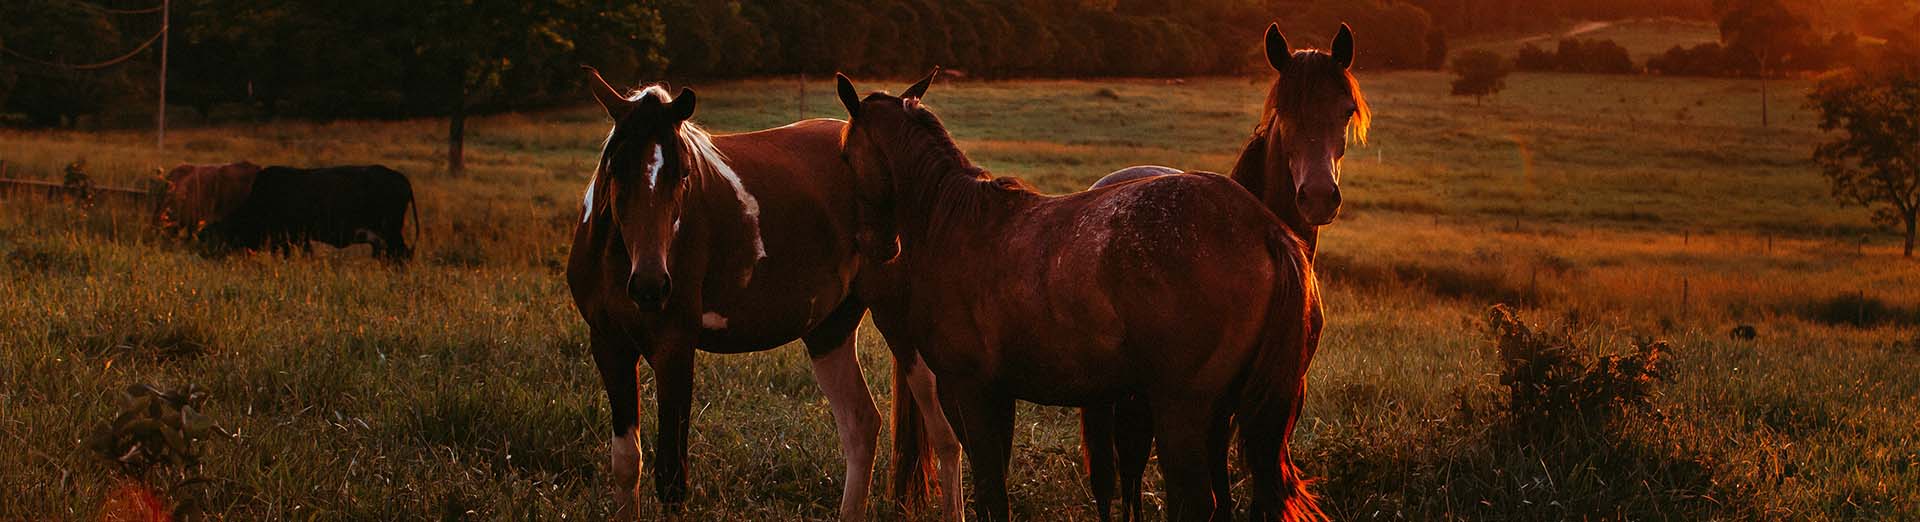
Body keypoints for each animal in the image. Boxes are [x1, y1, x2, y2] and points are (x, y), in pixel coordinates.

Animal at [560, 67, 883, 518]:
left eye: (682, 173)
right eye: (616, 167)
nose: (650, 285)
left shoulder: (675, 348)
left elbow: (671, 476)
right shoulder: (609, 344)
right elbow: (626, 464)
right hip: (829, 330)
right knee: (861, 425)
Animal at [848, 73, 1328, 522]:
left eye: (846, 152)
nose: (877, 247)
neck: (955, 223)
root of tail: (1263, 228)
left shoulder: (971, 391)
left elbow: (990, 493)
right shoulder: (998, 396)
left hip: (1183, 408)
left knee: (1195, 501)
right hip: (1229, 412)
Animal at [1082, 23, 1367, 522]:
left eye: (1345, 110)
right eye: (1282, 110)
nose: (1317, 196)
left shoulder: (1280, 398)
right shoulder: (1212, 409)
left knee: (1133, 468)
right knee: (1111, 477)